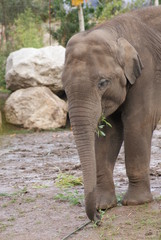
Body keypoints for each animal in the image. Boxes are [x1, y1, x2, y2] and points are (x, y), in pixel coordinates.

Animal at [61, 6, 161, 221]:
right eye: (63, 88)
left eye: (102, 83)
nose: (97, 220)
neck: (114, 32)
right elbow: (109, 132)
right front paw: (104, 205)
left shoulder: (148, 71)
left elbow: (137, 122)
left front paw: (136, 202)